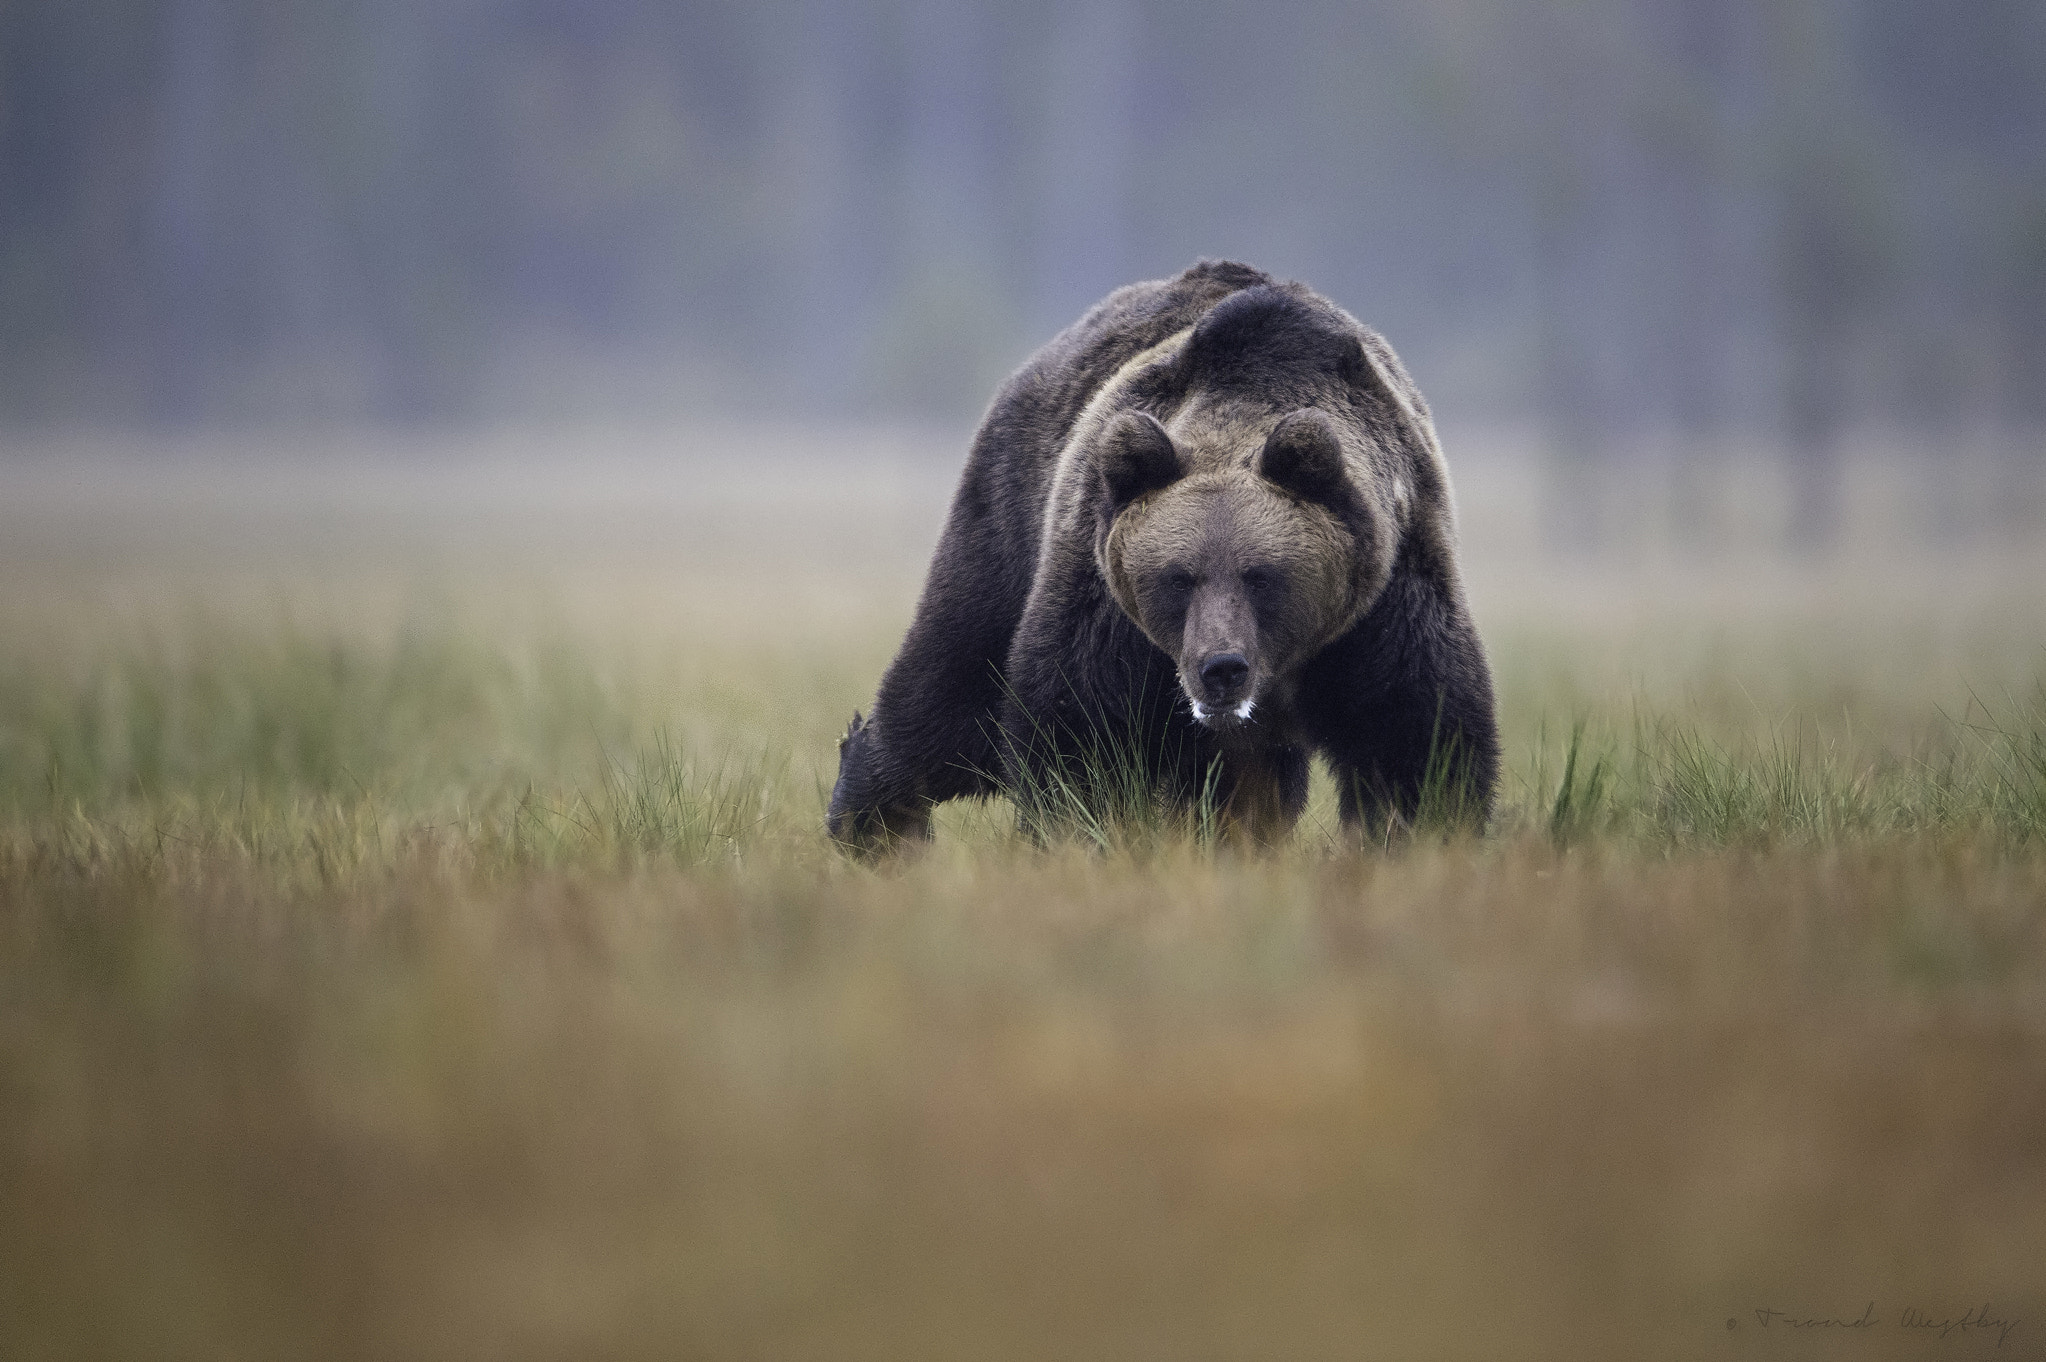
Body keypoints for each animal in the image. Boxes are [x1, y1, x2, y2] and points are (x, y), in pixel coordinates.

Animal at [822, 258, 1497, 842]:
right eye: (1179, 576)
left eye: (1262, 575)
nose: (1221, 667)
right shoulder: (1107, 604)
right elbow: (1078, 738)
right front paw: (1088, 834)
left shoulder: (1384, 600)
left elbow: (1416, 744)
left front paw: (1419, 834)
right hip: (1009, 509)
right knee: (950, 692)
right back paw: (872, 820)